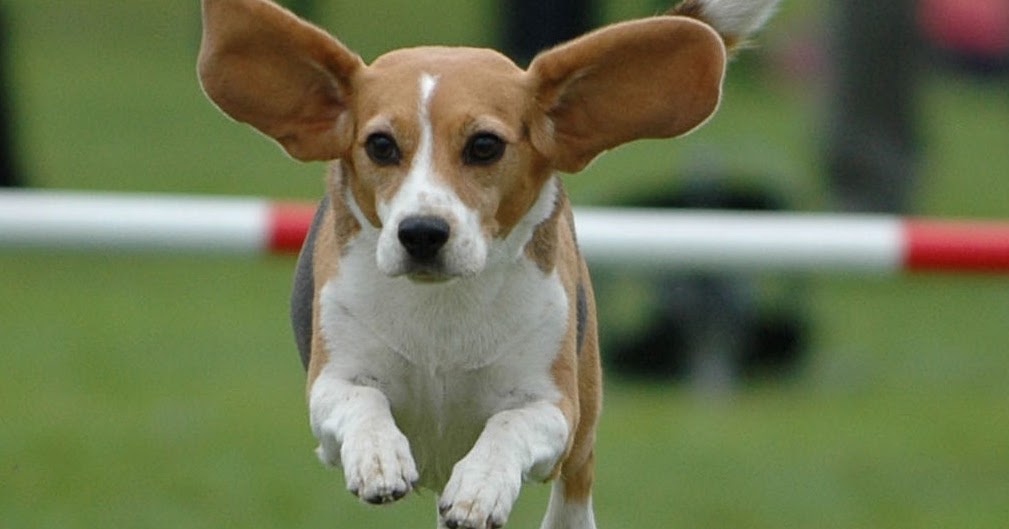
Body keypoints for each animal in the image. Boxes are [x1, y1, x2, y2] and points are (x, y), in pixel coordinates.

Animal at [198, 1, 777, 527]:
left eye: (484, 146)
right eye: (381, 145)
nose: (421, 233)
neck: (444, 303)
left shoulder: (552, 408)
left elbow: (509, 427)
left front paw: (481, 486)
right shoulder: (331, 381)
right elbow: (363, 401)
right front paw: (379, 458)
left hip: (583, 433)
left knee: (573, 490)